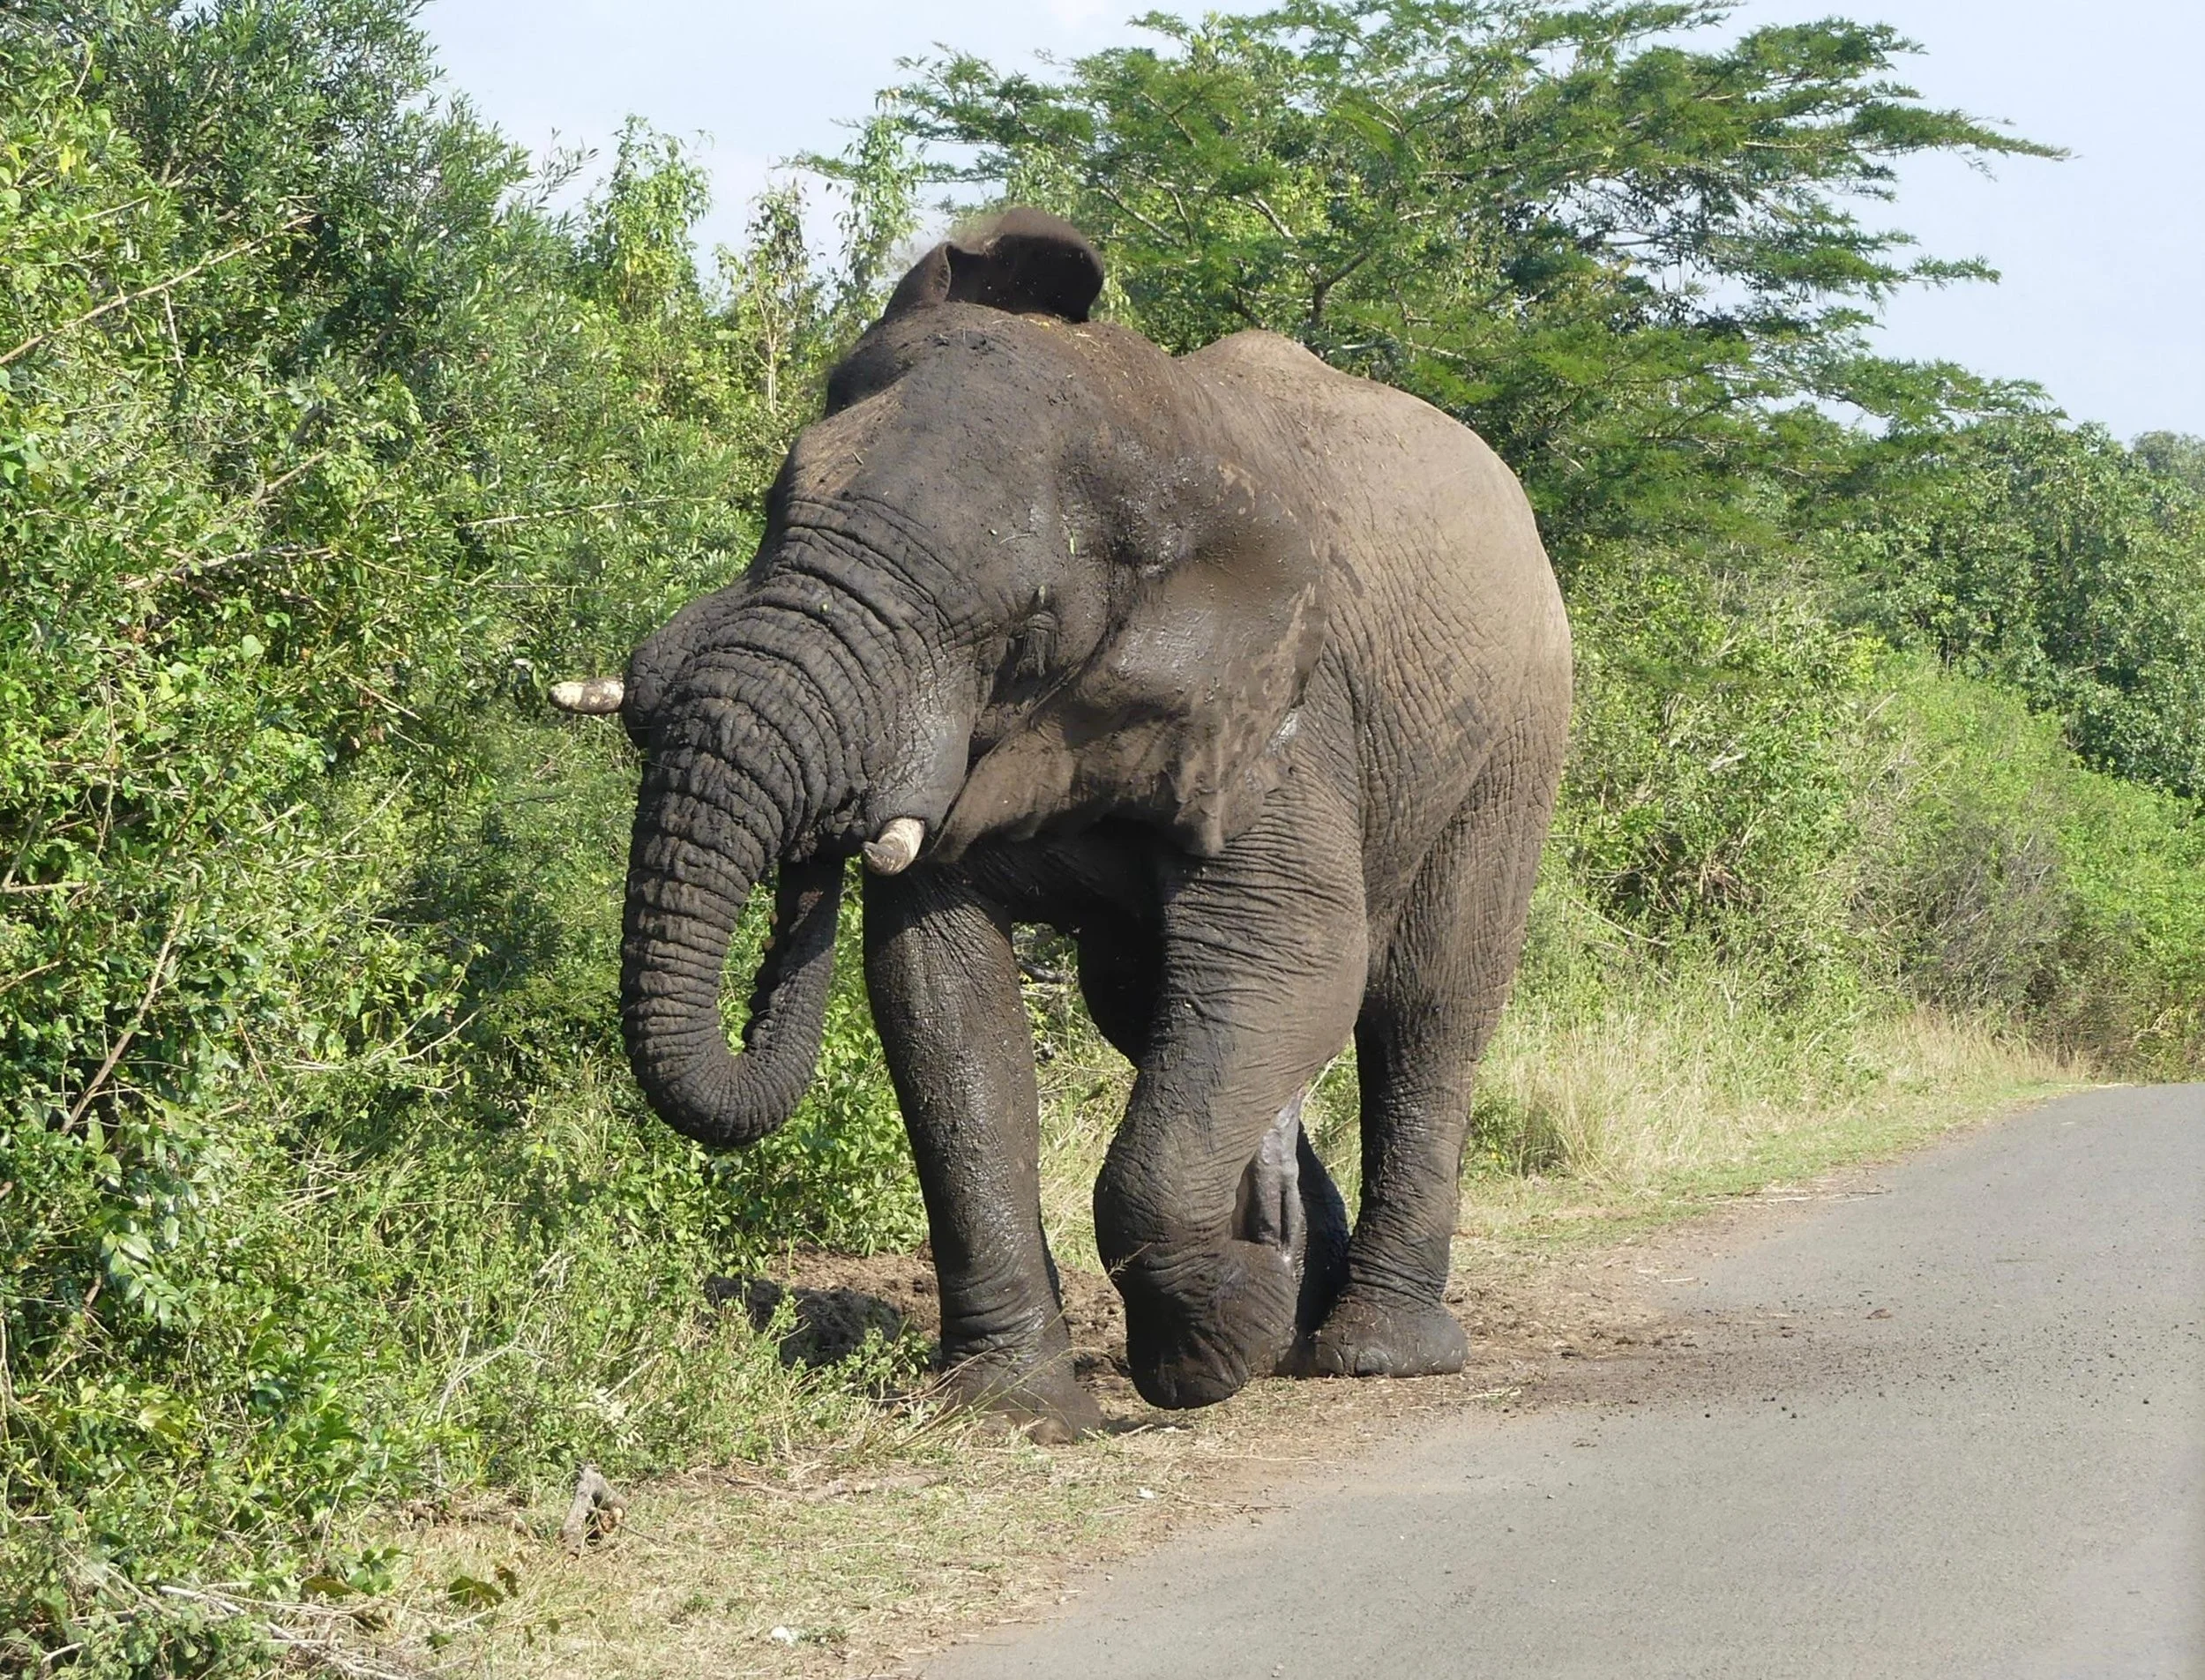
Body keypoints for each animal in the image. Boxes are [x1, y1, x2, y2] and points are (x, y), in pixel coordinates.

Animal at [583, 209, 1571, 1438]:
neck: (1147, 431)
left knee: (1423, 1008)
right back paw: (1294, 1283)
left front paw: (1216, 1342)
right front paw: (1013, 1410)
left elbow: (1294, 959)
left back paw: (1373, 1349)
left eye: (1025, 621)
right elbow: (940, 1001)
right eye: (776, 509)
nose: (825, 836)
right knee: (1152, 1006)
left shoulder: (1284, 718)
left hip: (1518, 728)